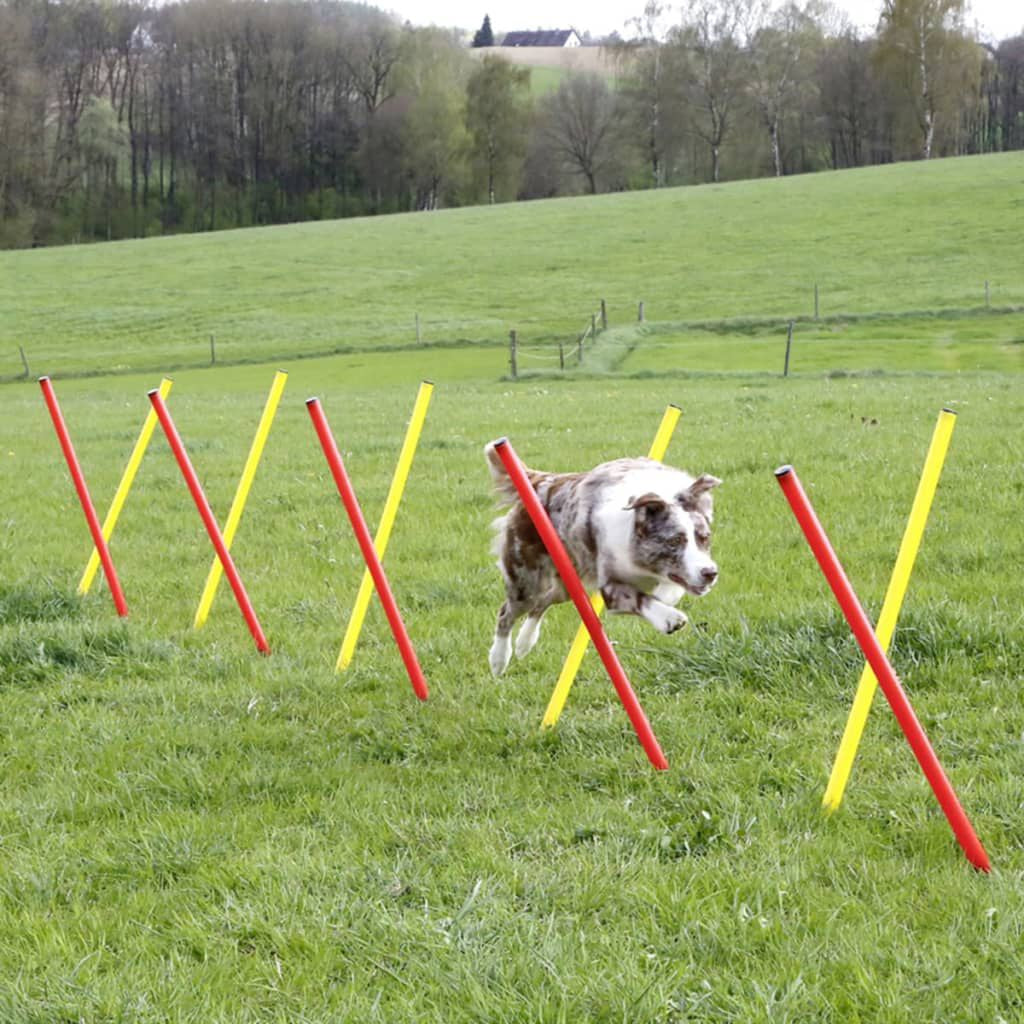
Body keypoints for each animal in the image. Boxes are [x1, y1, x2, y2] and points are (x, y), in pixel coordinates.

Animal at [485, 444, 720, 675]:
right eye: (674, 541)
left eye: (704, 538)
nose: (710, 573)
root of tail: (540, 480)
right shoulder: (609, 584)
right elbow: (639, 598)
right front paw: (668, 619)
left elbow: (670, 590)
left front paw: (664, 597)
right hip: (526, 579)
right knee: (507, 613)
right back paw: (498, 660)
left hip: (567, 583)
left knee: (543, 602)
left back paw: (525, 642)